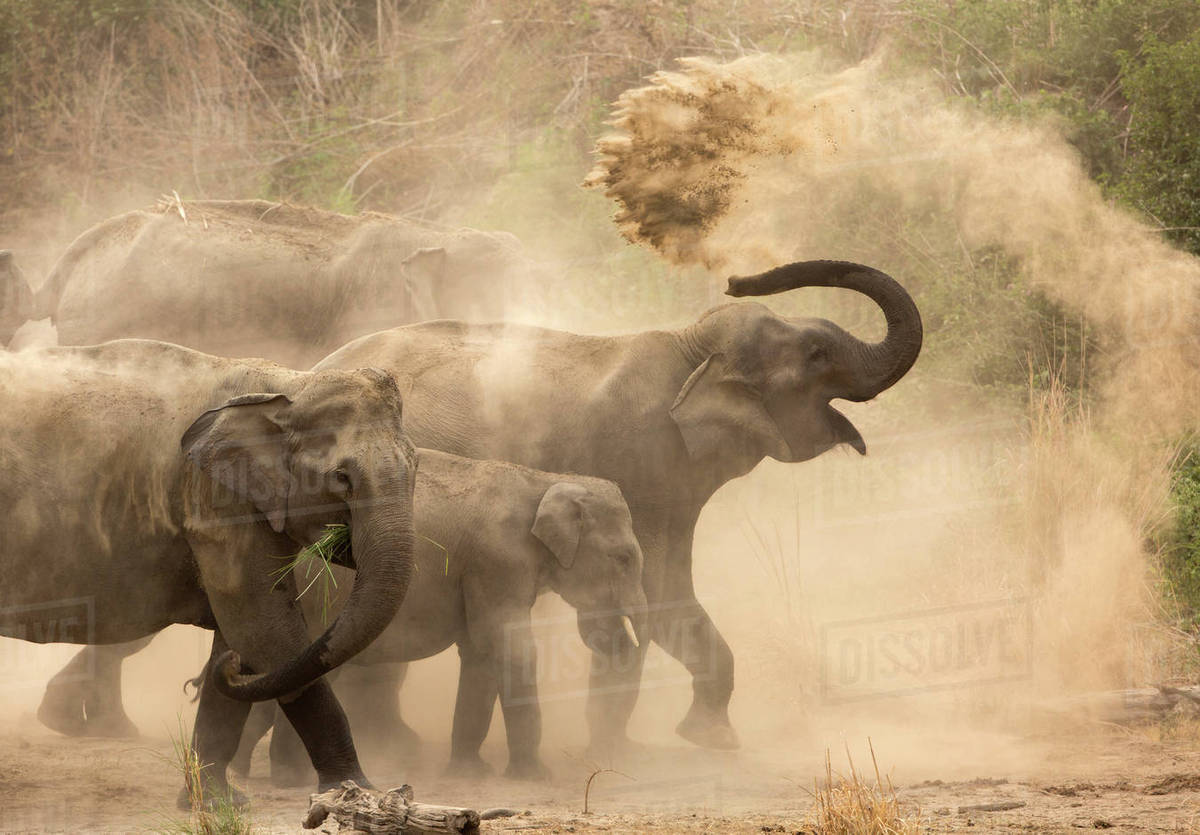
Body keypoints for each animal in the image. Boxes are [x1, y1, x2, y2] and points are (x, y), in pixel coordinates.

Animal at [0, 338, 419, 804]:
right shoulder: (216, 502)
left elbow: (240, 637)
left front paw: (217, 801)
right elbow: (265, 631)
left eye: (416, 467)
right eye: (342, 478)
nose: (209, 675)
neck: (286, 386)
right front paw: (354, 789)